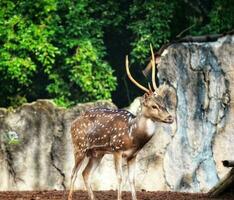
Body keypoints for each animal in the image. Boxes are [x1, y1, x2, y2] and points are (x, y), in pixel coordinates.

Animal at [67, 45, 174, 200]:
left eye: (164, 103)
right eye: (154, 106)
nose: (170, 117)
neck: (132, 135)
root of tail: (72, 124)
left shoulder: (133, 155)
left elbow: (132, 179)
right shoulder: (116, 149)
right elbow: (119, 178)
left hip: (96, 153)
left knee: (85, 173)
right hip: (79, 146)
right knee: (73, 172)